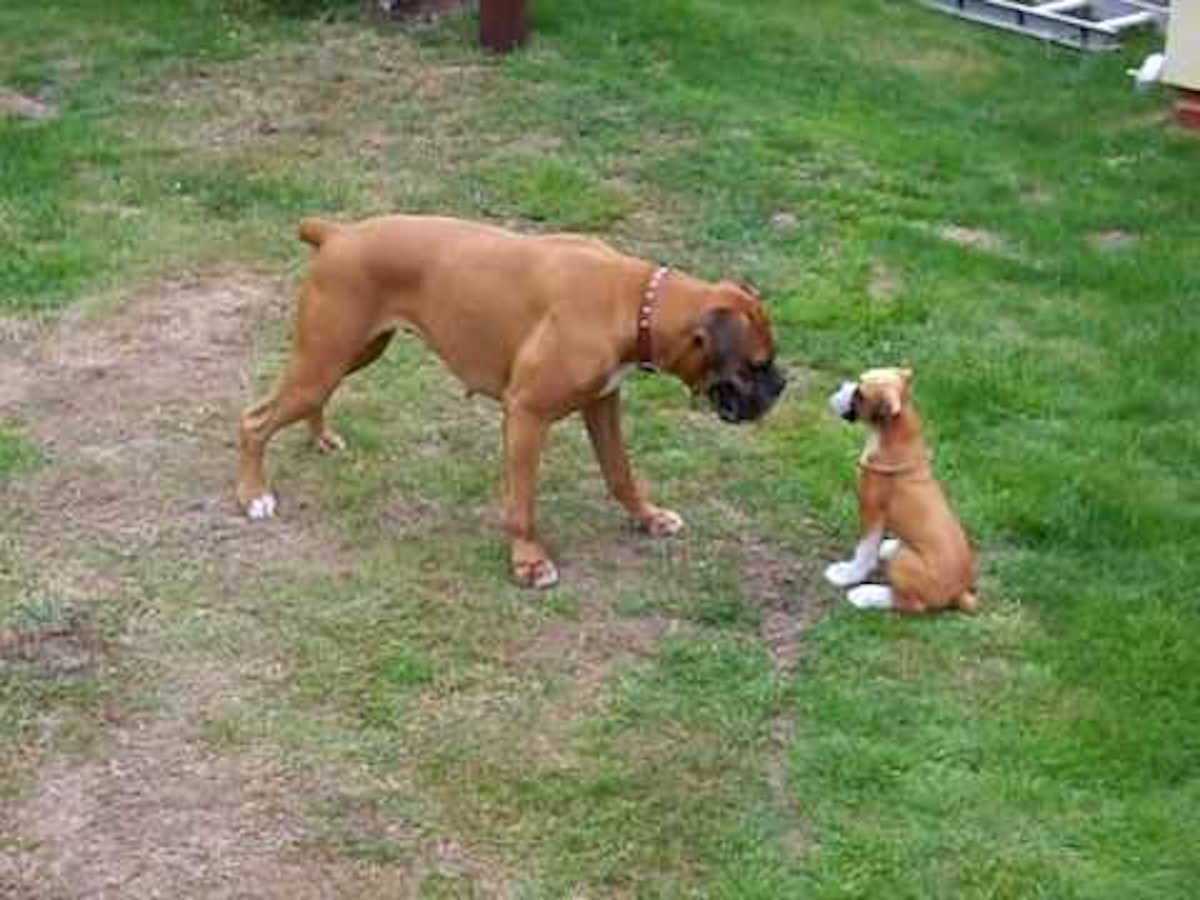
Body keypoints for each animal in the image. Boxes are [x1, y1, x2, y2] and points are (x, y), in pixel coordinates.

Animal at [240, 216, 792, 588]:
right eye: (756, 365)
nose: (783, 385)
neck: (636, 300)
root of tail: (337, 233)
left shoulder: (602, 403)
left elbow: (620, 472)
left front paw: (648, 517)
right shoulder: (527, 413)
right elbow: (523, 503)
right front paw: (529, 561)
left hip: (348, 355)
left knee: (308, 399)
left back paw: (320, 437)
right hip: (324, 361)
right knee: (254, 420)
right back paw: (254, 496)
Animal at [825, 367, 984, 614]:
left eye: (860, 393)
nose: (840, 386)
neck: (893, 431)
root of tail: (960, 593)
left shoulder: (871, 509)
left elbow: (864, 550)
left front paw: (848, 574)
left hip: (906, 563)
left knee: (910, 603)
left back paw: (867, 595)